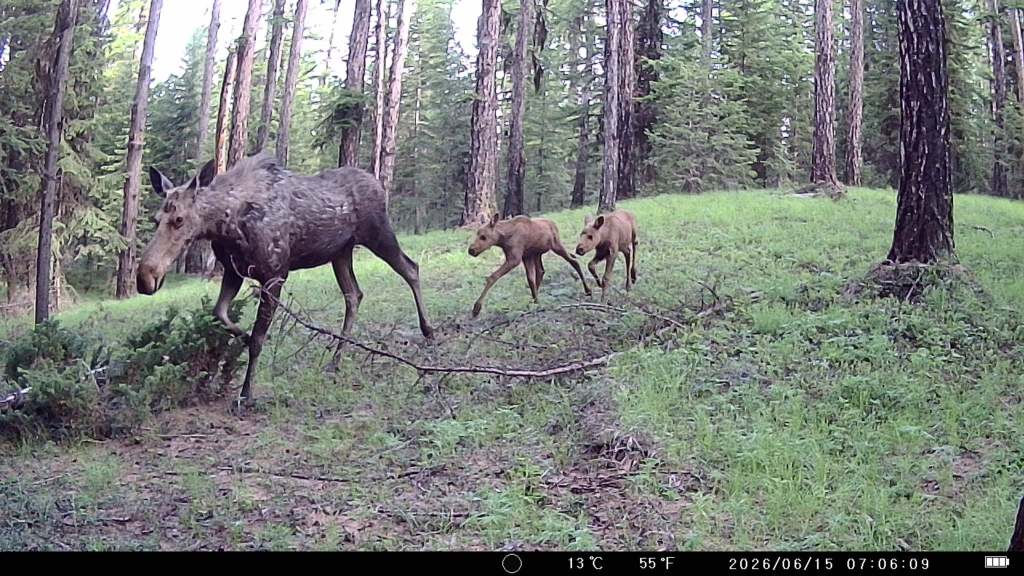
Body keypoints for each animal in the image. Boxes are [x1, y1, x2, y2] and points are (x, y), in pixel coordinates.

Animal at [136, 153, 433, 402]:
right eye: (155, 219)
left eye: (179, 219)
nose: (145, 278)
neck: (226, 227)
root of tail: (379, 185)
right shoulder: (233, 271)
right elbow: (220, 313)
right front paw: (242, 337)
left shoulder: (275, 275)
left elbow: (258, 339)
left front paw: (246, 393)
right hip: (341, 253)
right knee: (354, 295)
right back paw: (335, 361)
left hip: (379, 234)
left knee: (411, 268)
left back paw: (428, 332)